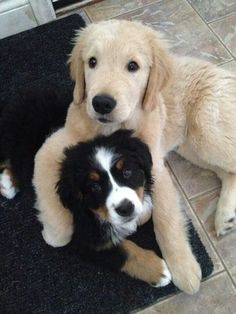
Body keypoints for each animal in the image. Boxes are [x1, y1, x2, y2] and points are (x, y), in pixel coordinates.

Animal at [32, 19, 236, 294]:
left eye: (132, 66)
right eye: (92, 62)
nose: (102, 103)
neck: (110, 129)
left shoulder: (153, 165)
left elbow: (166, 219)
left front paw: (184, 269)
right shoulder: (56, 143)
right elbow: (45, 175)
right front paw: (56, 232)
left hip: (208, 130)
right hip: (192, 146)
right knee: (229, 172)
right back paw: (225, 216)